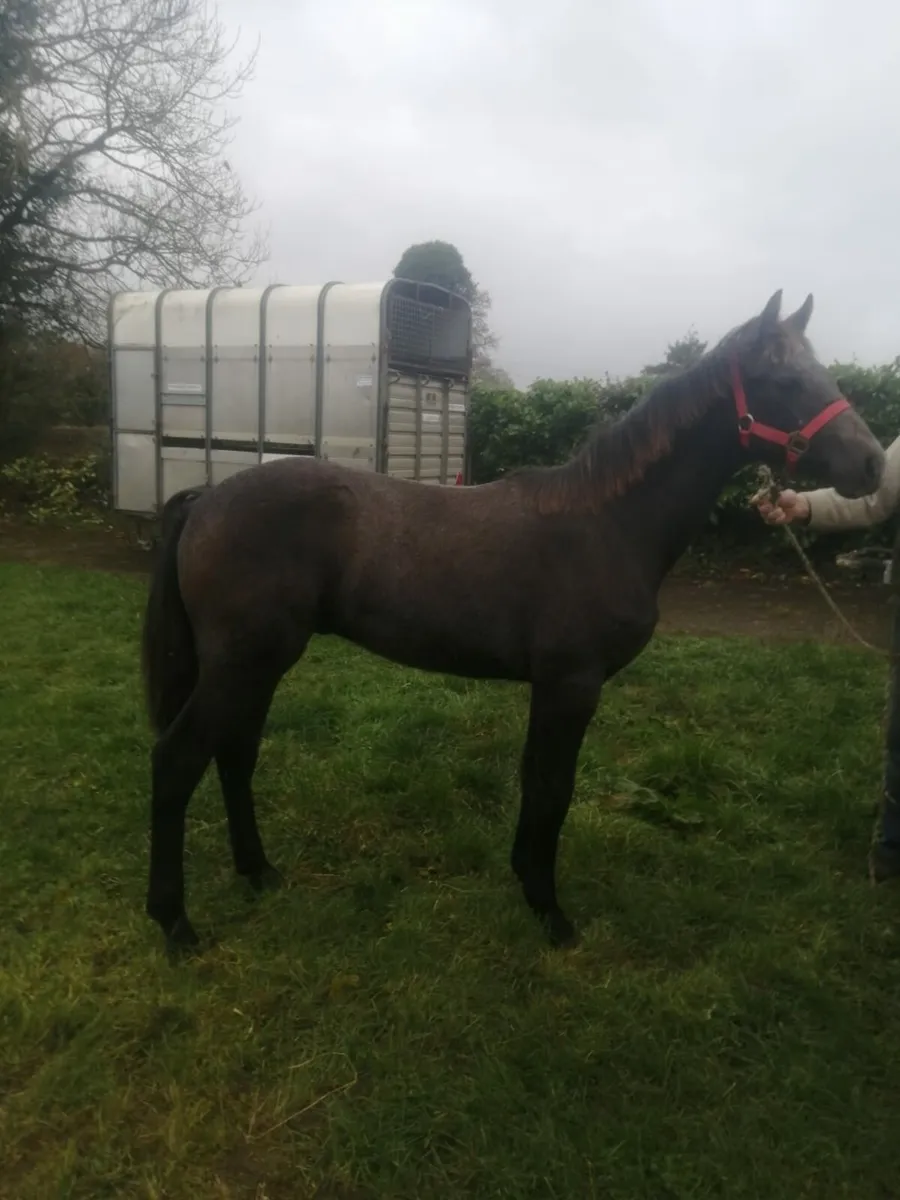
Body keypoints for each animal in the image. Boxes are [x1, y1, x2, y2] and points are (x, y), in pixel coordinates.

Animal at [140, 289, 885, 956]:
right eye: (784, 379)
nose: (874, 462)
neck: (610, 524)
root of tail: (206, 499)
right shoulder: (571, 685)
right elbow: (553, 788)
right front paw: (550, 911)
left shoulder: (553, 688)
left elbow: (537, 783)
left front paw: (529, 886)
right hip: (244, 663)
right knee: (178, 761)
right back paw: (175, 923)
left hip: (259, 664)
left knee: (234, 756)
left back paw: (258, 872)